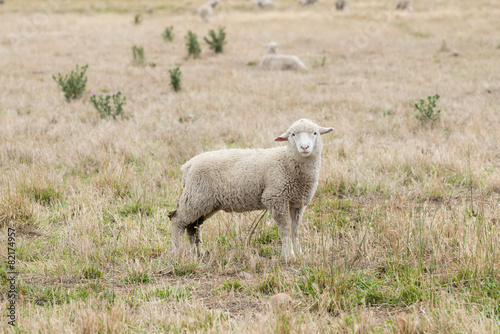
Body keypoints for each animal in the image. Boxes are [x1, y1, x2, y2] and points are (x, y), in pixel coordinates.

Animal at [170, 118, 334, 260]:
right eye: (292, 134)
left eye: (315, 133)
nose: (304, 147)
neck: (287, 161)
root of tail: (188, 165)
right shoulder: (276, 198)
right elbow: (285, 229)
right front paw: (288, 255)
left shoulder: (297, 203)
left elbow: (295, 230)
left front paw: (299, 254)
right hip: (195, 197)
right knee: (176, 221)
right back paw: (178, 254)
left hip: (206, 203)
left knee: (193, 227)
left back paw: (198, 253)